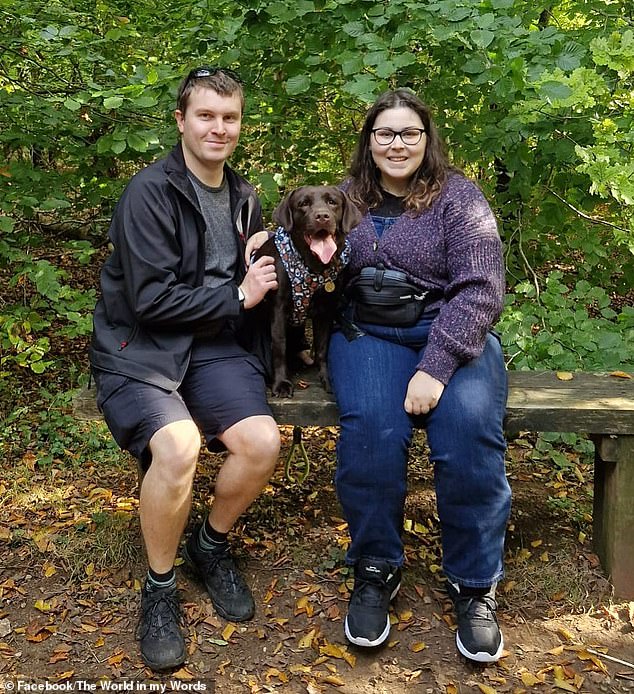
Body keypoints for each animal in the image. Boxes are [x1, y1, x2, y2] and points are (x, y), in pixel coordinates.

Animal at [252, 188, 360, 400]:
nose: (322, 216)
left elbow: (323, 348)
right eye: (303, 204)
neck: (313, 268)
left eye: (332, 202)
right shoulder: (278, 309)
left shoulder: (325, 311)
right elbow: (279, 347)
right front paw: (281, 383)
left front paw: (326, 378)